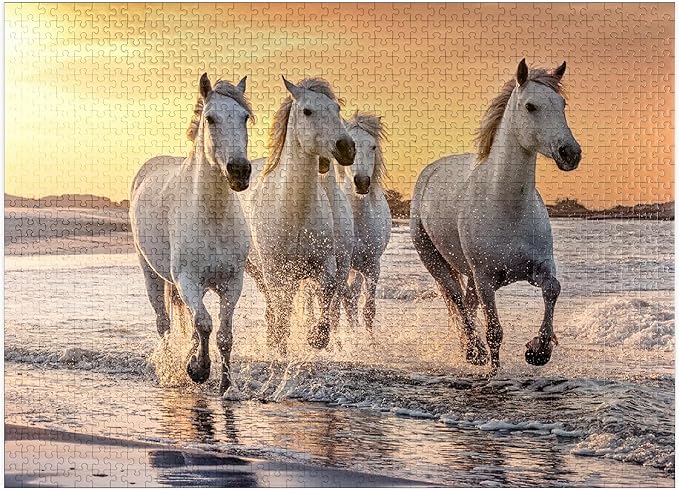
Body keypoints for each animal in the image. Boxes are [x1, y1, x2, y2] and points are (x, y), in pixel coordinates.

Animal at [130, 73, 253, 395]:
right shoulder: (187, 280)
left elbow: (223, 334)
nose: (239, 171)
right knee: (164, 324)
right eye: (210, 118)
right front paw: (198, 370)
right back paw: (171, 368)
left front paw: (225, 386)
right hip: (152, 275)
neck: (212, 215)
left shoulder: (232, 283)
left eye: (245, 117)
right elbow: (205, 324)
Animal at [240, 77, 356, 355]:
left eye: (337, 108)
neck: (294, 212)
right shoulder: (274, 271)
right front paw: (281, 346)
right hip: (258, 270)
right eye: (307, 111)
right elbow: (282, 310)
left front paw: (316, 338)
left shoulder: (324, 264)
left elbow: (327, 293)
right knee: (274, 306)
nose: (347, 148)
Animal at [410, 59, 581, 374]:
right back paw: (474, 351)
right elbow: (494, 332)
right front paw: (494, 371)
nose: (570, 153)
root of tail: (430, 171)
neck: (507, 207)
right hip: (435, 261)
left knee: (466, 304)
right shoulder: (485, 279)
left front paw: (538, 351)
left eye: (562, 104)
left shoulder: (539, 268)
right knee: (458, 301)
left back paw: (468, 349)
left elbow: (553, 289)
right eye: (531, 106)